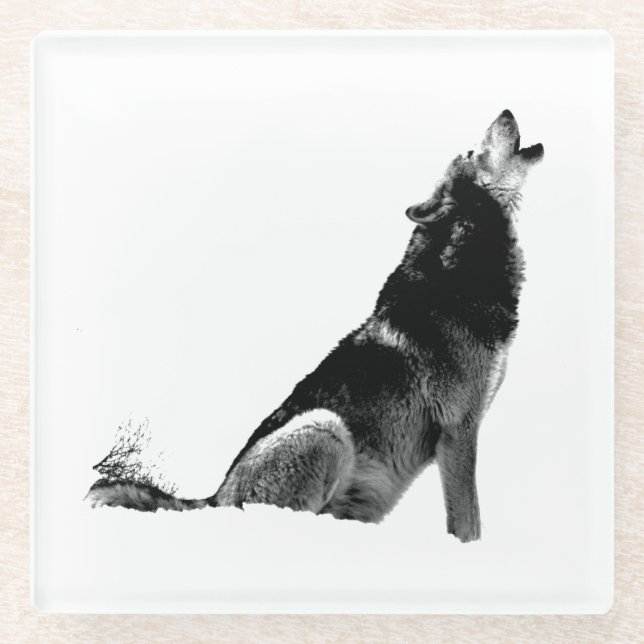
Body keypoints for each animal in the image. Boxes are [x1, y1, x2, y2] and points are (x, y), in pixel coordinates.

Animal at [86, 109, 543, 542]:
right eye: (472, 151)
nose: (505, 110)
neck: (463, 270)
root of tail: (215, 498)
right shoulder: (458, 430)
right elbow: (468, 522)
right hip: (326, 427)